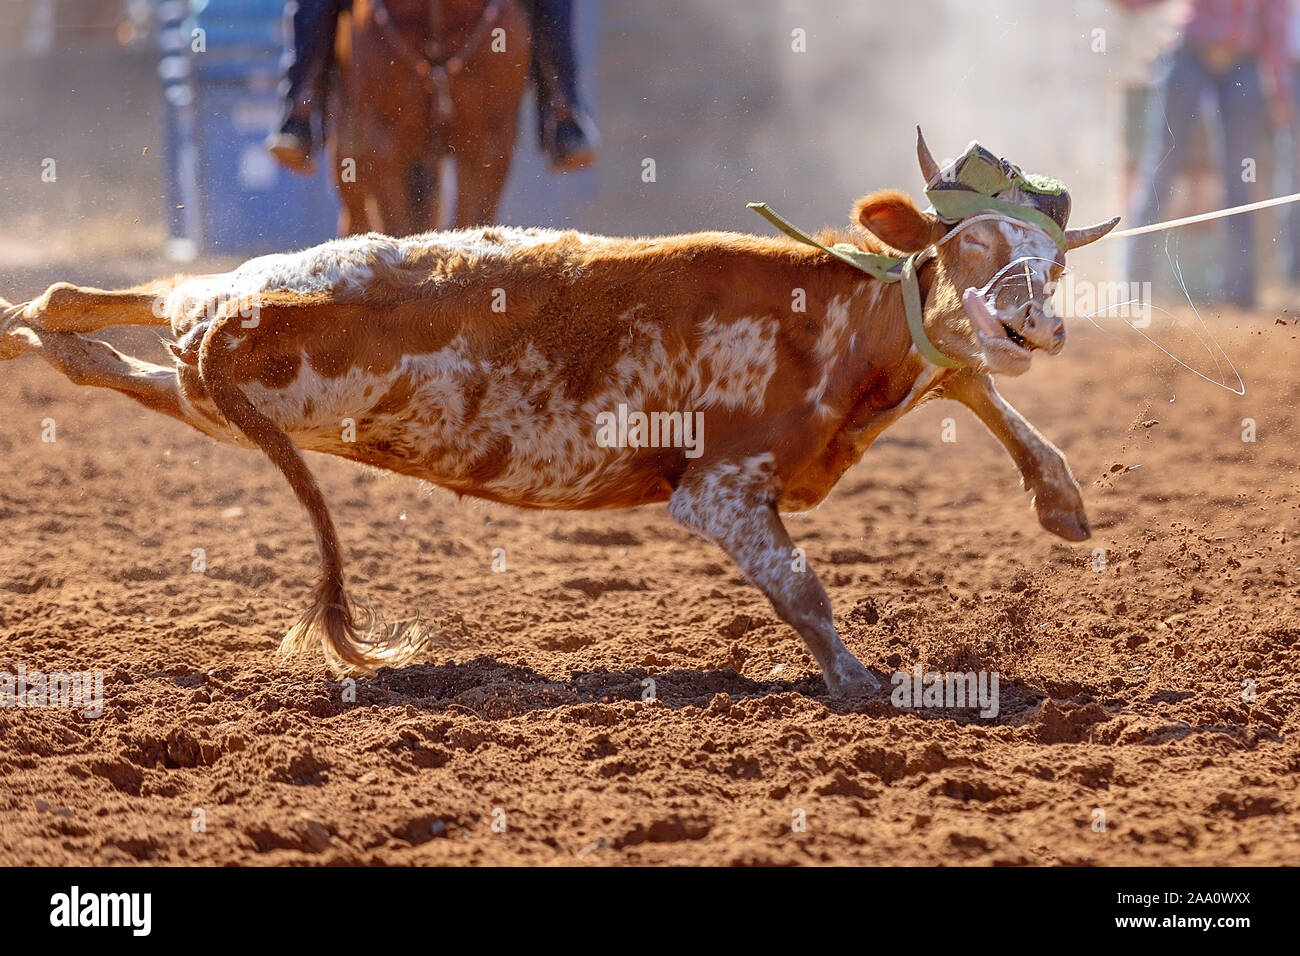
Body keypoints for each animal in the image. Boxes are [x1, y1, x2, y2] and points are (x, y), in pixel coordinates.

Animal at [0, 131, 1117, 698]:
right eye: (972, 244)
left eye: (1056, 261)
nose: (1036, 325)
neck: (837, 326)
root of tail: (233, 327)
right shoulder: (718, 492)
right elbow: (804, 588)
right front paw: (857, 678)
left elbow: (969, 380)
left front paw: (1060, 499)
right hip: (250, 350)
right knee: (116, 313)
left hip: (219, 374)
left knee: (95, 327)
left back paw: (30, 330)